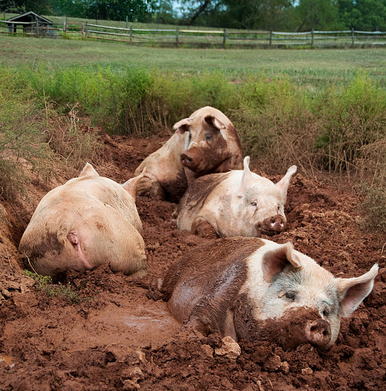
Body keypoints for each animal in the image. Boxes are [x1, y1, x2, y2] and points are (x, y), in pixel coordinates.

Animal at [149, 237, 378, 350]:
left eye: (326, 312)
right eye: (290, 295)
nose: (320, 324)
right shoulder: (222, 291)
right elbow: (200, 318)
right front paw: (185, 341)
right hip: (175, 271)